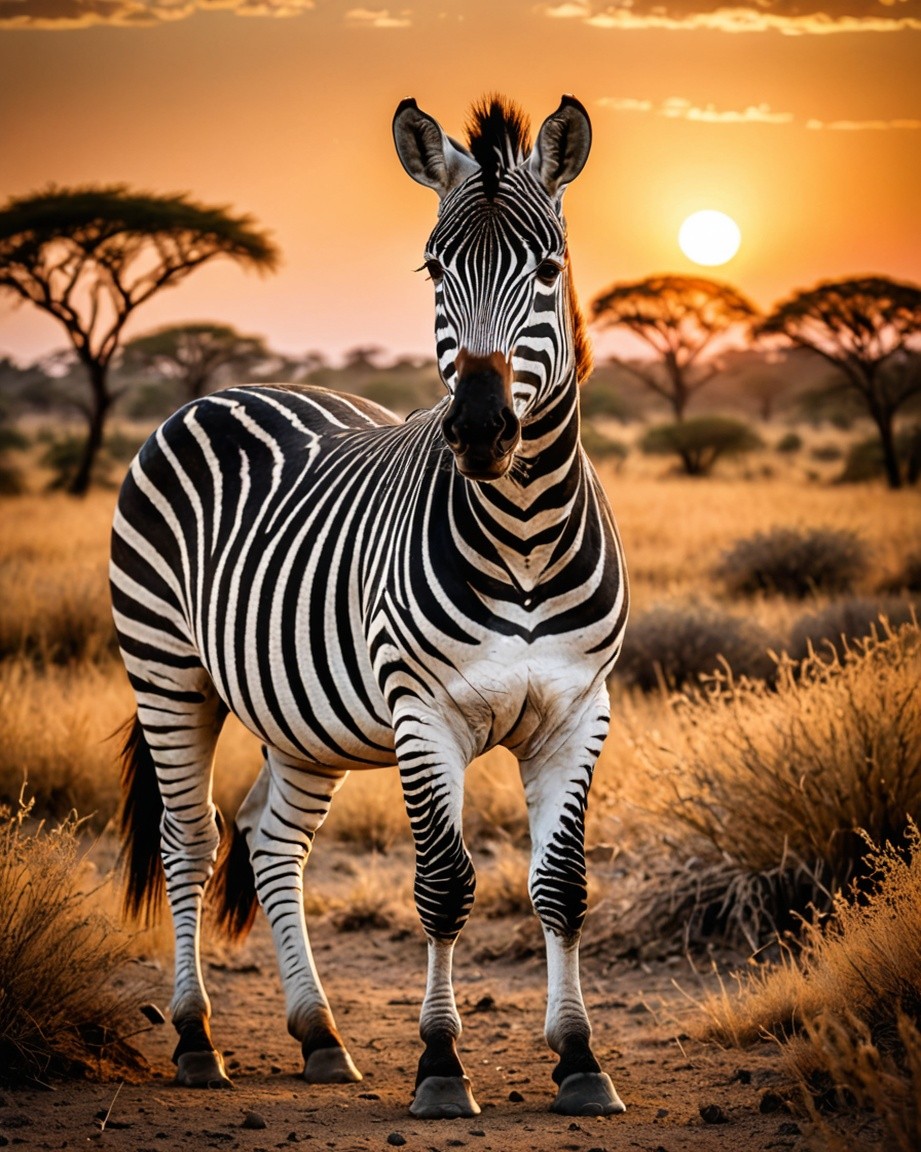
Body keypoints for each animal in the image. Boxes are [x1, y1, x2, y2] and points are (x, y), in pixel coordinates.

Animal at [112, 93, 629, 1119]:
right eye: (434, 268)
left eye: (547, 270)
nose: (479, 431)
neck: (524, 533)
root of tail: (222, 390)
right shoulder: (423, 712)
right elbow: (444, 886)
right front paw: (440, 1064)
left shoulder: (576, 710)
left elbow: (561, 887)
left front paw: (579, 1059)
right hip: (167, 671)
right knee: (188, 839)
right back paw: (195, 1039)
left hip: (302, 720)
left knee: (270, 841)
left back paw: (319, 1036)